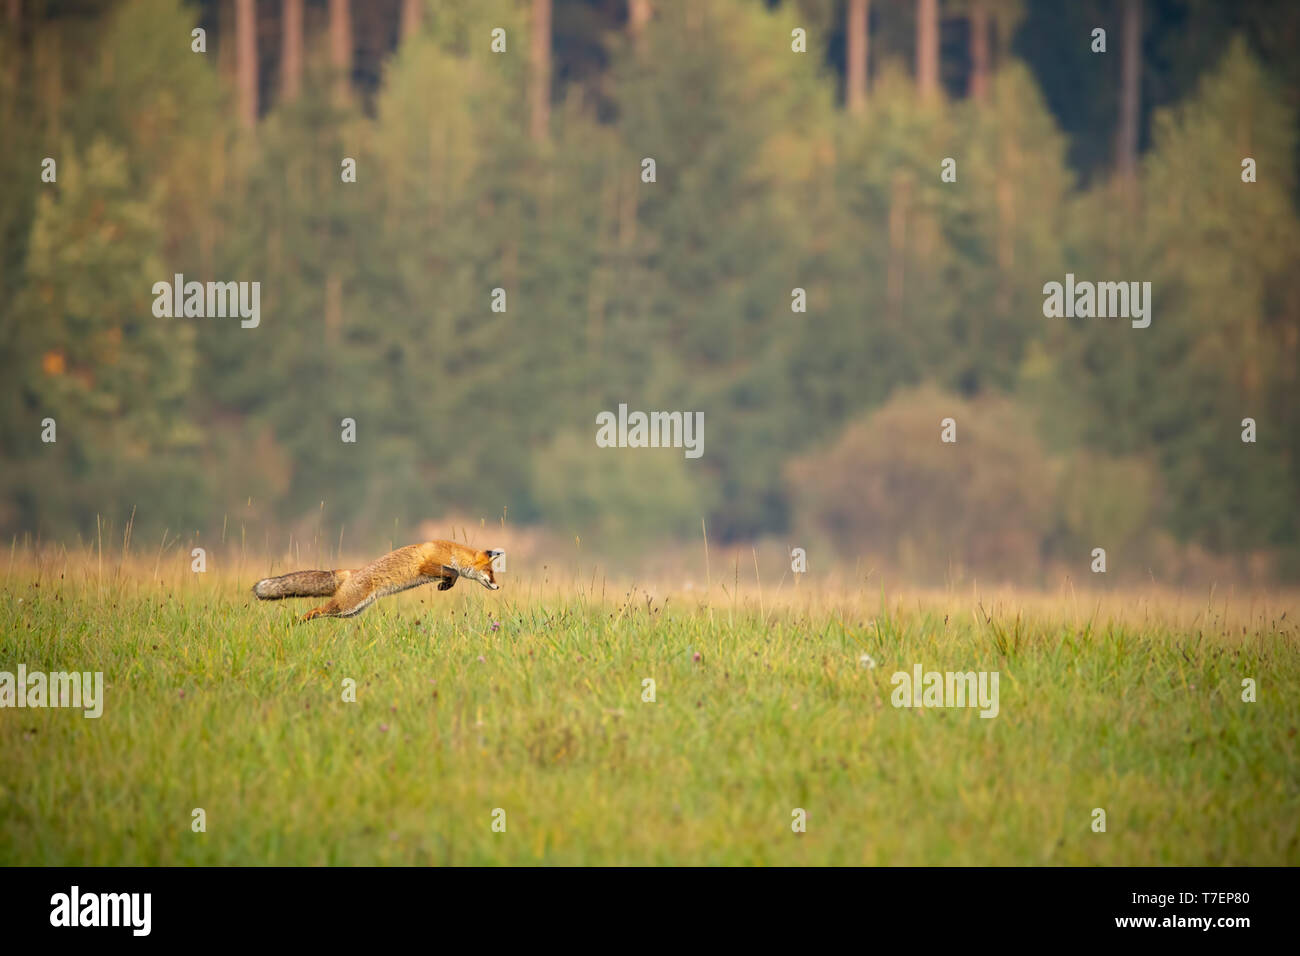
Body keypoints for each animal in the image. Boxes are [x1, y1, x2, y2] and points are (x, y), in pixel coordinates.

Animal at [253, 538, 501, 621]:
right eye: (491, 572)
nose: (498, 586)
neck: (450, 551)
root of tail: (351, 571)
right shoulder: (428, 565)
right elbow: (454, 572)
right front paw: (445, 585)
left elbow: (453, 573)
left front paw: (445, 584)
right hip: (346, 606)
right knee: (315, 610)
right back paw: (295, 623)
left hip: (350, 612)